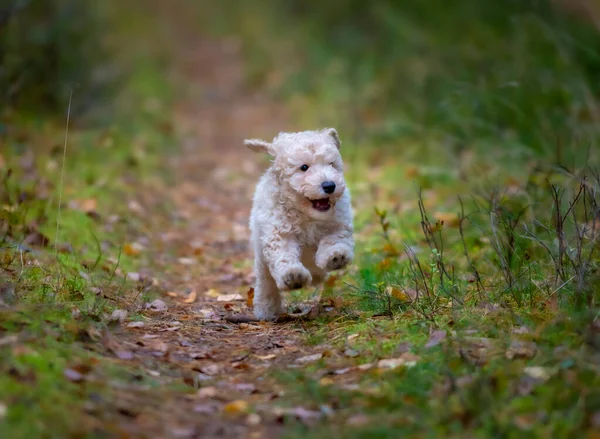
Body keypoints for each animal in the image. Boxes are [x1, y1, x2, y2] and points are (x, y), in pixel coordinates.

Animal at [245, 129, 354, 322]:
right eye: (304, 167)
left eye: (331, 164)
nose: (329, 185)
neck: (306, 214)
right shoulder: (278, 233)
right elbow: (284, 256)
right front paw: (293, 275)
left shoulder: (338, 223)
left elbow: (334, 239)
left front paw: (336, 256)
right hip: (260, 255)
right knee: (266, 282)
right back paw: (266, 309)